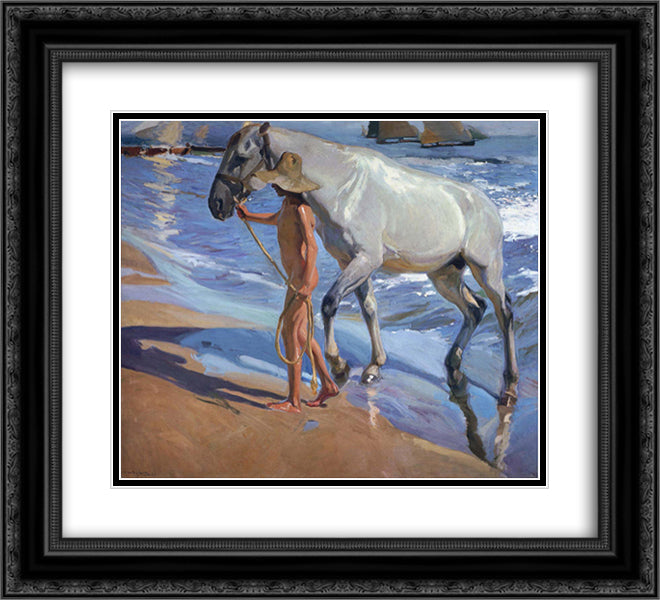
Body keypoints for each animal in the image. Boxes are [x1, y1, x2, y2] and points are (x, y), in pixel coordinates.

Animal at [207, 122, 519, 405]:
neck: (343, 184)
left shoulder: (366, 259)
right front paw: (373, 367)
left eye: (240, 157)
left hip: (486, 269)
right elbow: (369, 308)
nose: (217, 204)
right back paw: (453, 365)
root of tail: (488, 205)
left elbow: (330, 303)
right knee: (475, 309)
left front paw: (339, 365)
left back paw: (510, 385)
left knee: (503, 311)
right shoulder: (349, 261)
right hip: (445, 274)